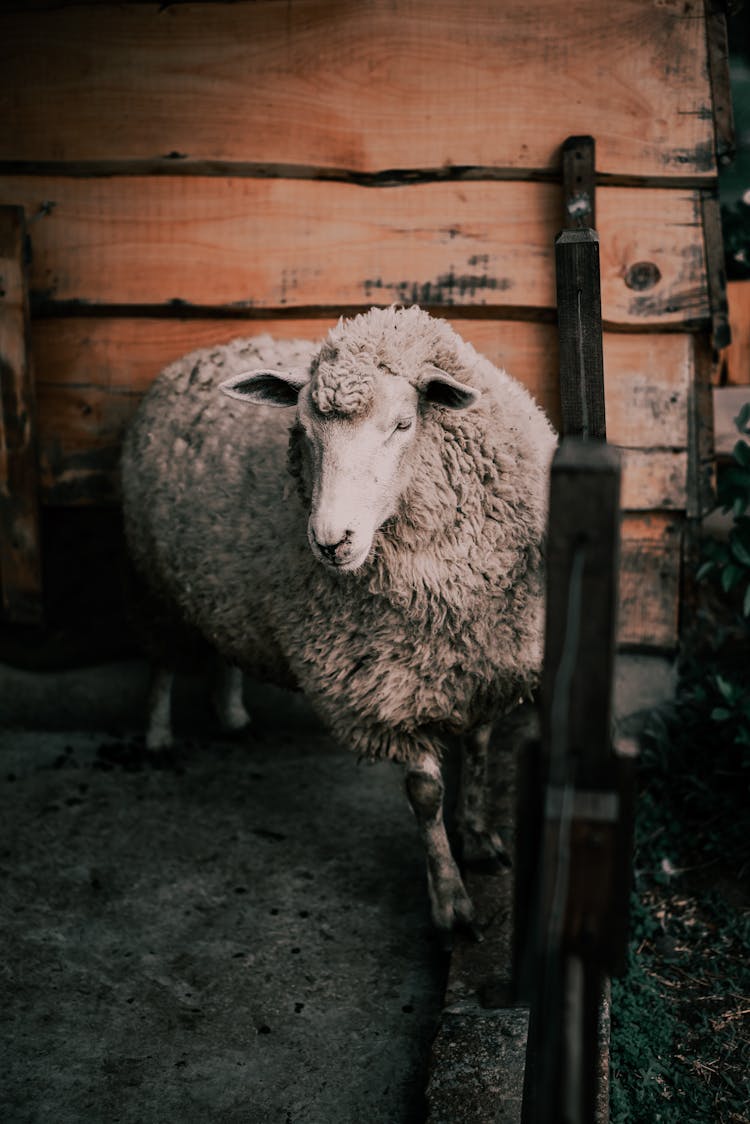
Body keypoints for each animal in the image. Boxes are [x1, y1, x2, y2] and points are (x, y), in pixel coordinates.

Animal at [122, 303, 557, 935]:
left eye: (403, 424)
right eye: (303, 432)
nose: (331, 541)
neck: (444, 594)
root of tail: (194, 356)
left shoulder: (486, 661)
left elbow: (477, 752)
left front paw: (478, 840)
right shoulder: (381, 690)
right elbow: (425, 793)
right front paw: (450, 900)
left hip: (219, 585)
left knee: (223, 646)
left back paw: (232, 716)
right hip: (155, 581)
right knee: (160, 661)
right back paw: (157, 739)